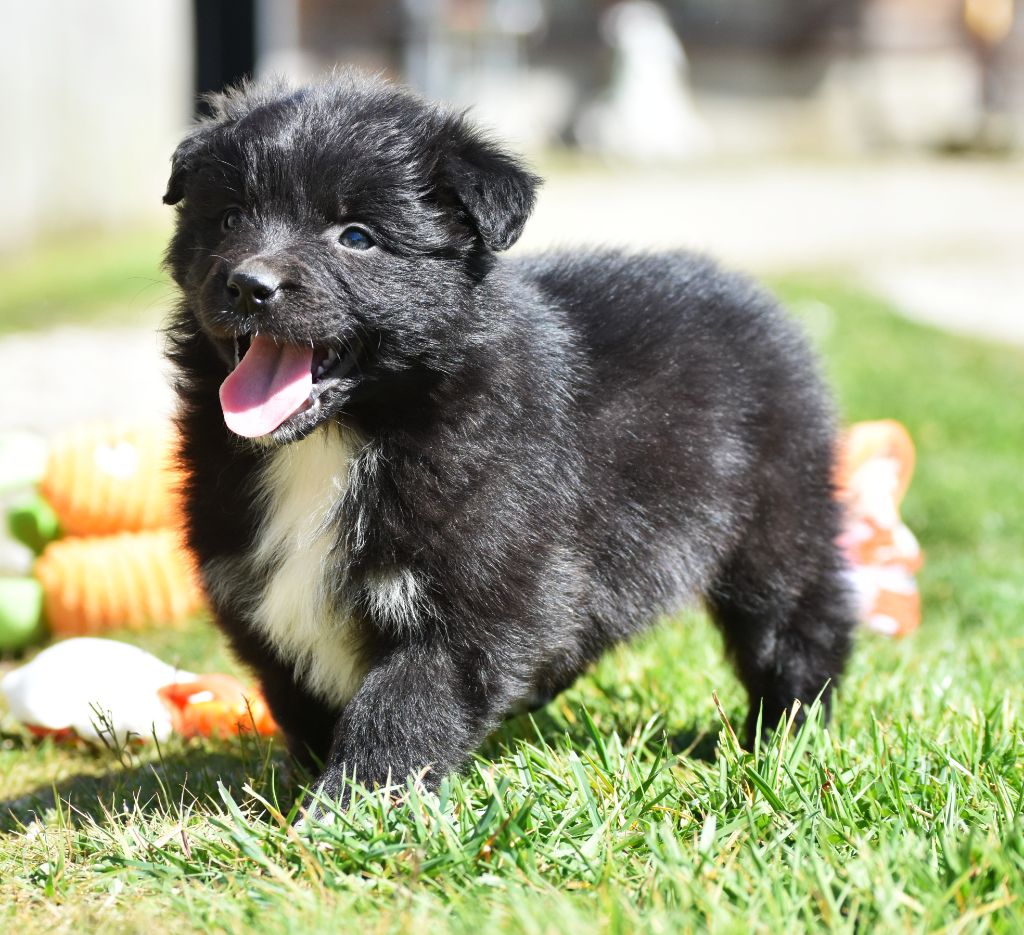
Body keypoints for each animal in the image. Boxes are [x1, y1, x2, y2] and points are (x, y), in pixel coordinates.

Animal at [163, 72, 856, 803]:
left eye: (356, 236)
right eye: (229, 218)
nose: (248, 284)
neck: (341, 440)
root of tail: (756, 299)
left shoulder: (477, 593)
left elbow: (402, 704)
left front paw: (354, 802)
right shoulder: (254, 591)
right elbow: (300, 696)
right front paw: (309, 789)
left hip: (777, 522)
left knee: (800, 620)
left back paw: (786, 733)